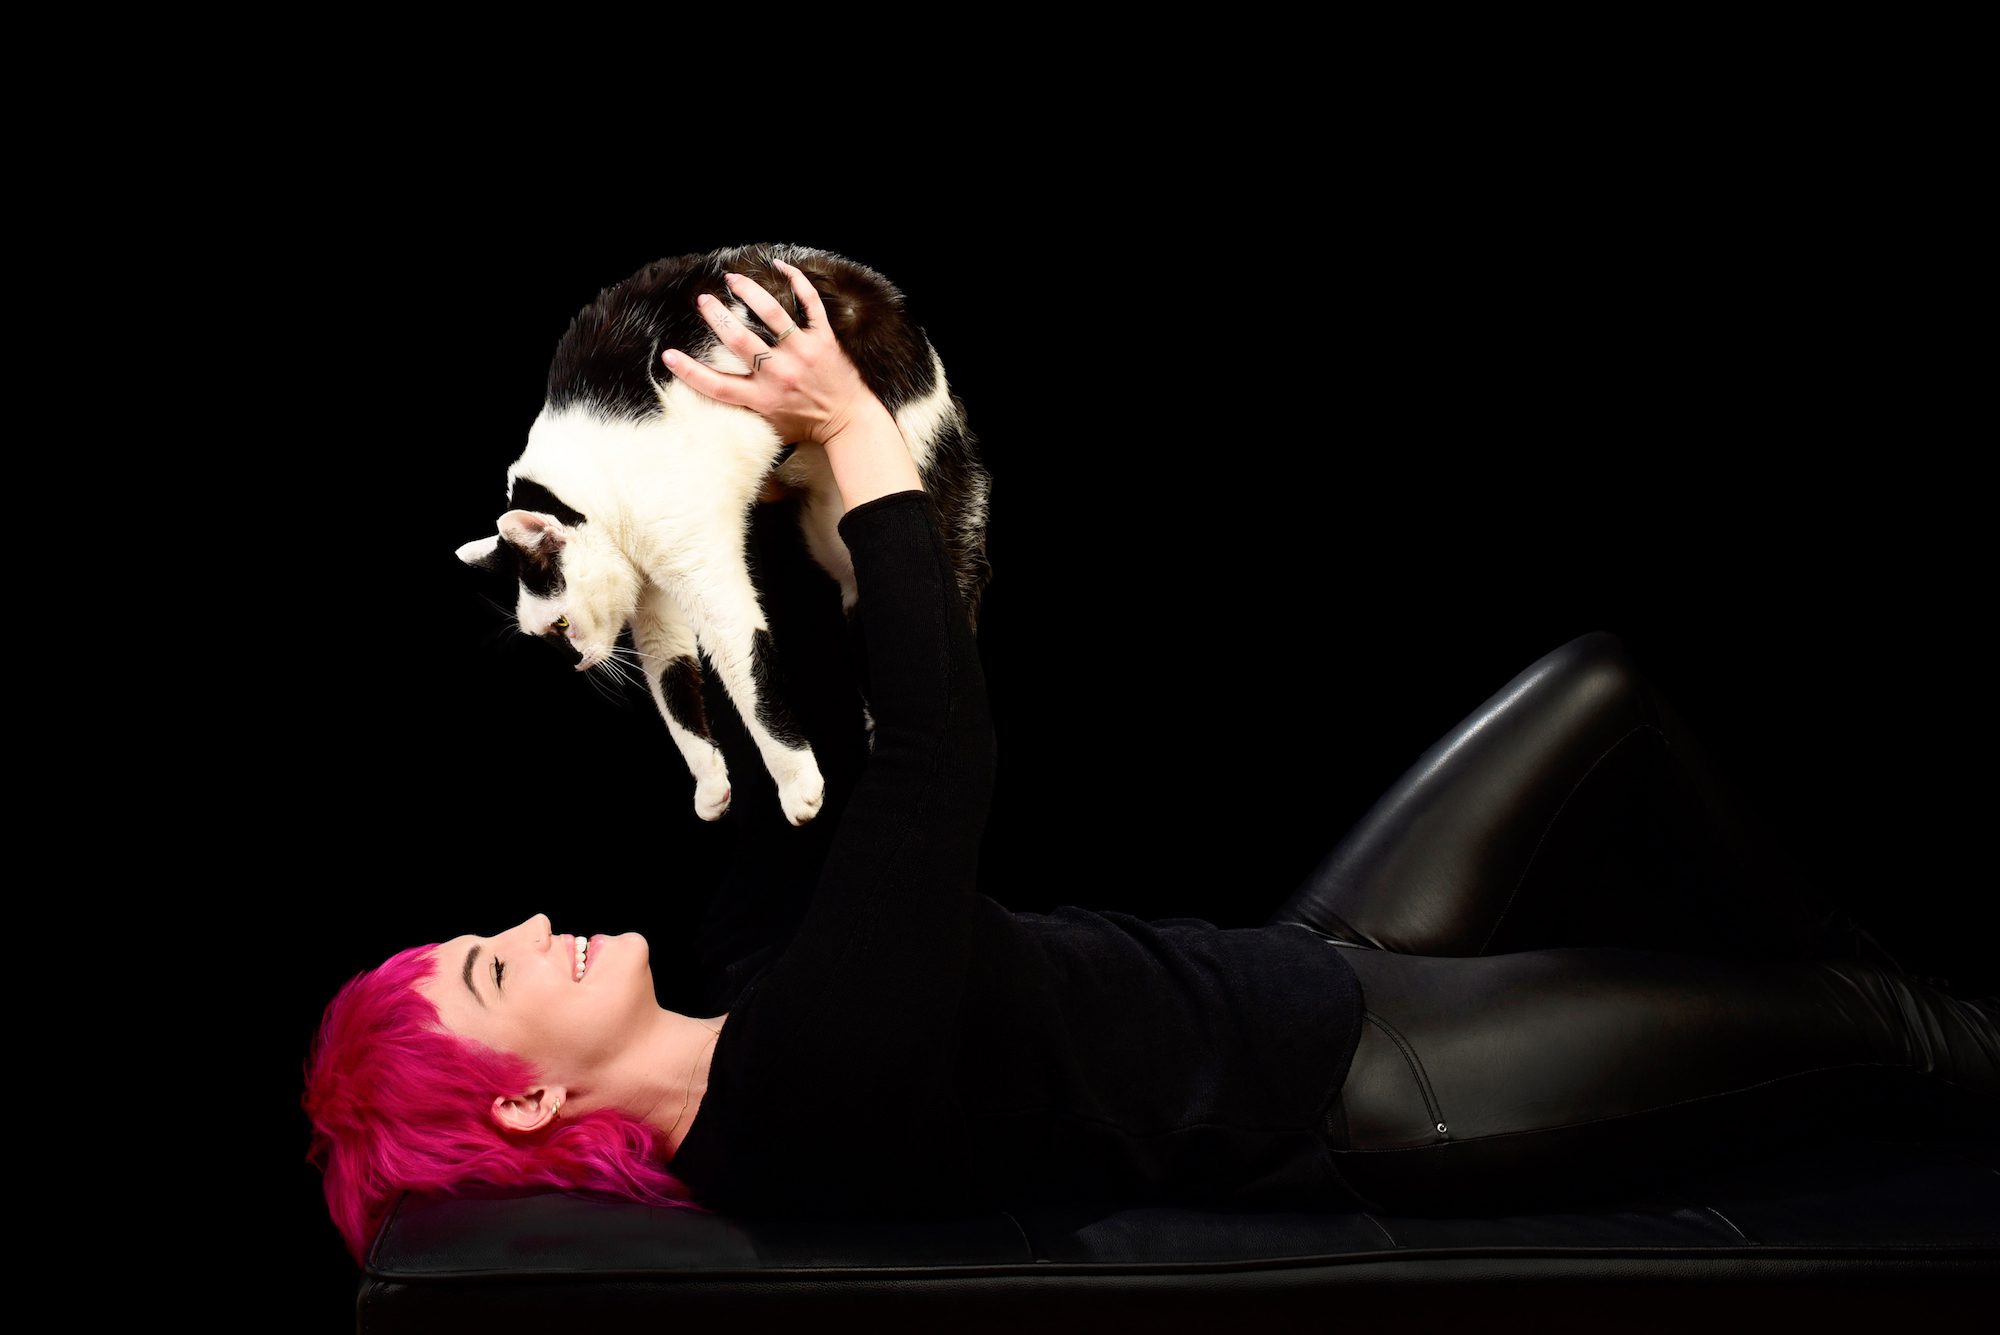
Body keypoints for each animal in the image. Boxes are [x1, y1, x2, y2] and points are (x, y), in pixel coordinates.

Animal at [450, 239, 988, 823]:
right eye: (545, 636)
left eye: (562, 624)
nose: (576, 665)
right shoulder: (654, 600)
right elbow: (672, 683)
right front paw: (710, 786)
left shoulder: (697, 561)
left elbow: (745, 669)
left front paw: (797, 784)